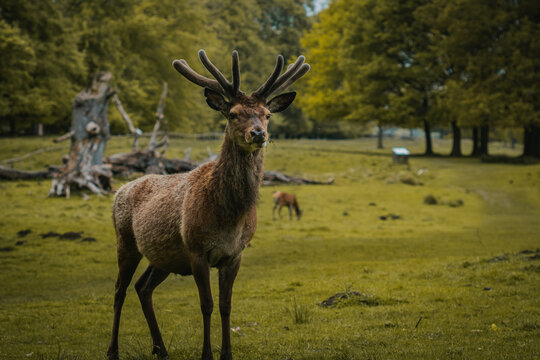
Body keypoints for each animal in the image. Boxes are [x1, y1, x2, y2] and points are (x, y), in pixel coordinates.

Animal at [105, 50, 310, 360]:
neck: (228, 219)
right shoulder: (196, 250)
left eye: (267, 114)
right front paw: (207, 354)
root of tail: (120, 189)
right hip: (125, 240)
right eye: (233, 113)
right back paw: (113, 350)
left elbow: (226, 305)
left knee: (143, 287)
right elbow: (207, 304)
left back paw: (160, 349)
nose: (258, 134)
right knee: (119, 289)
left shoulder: (235, 254)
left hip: (163, 257)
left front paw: (227, 354)